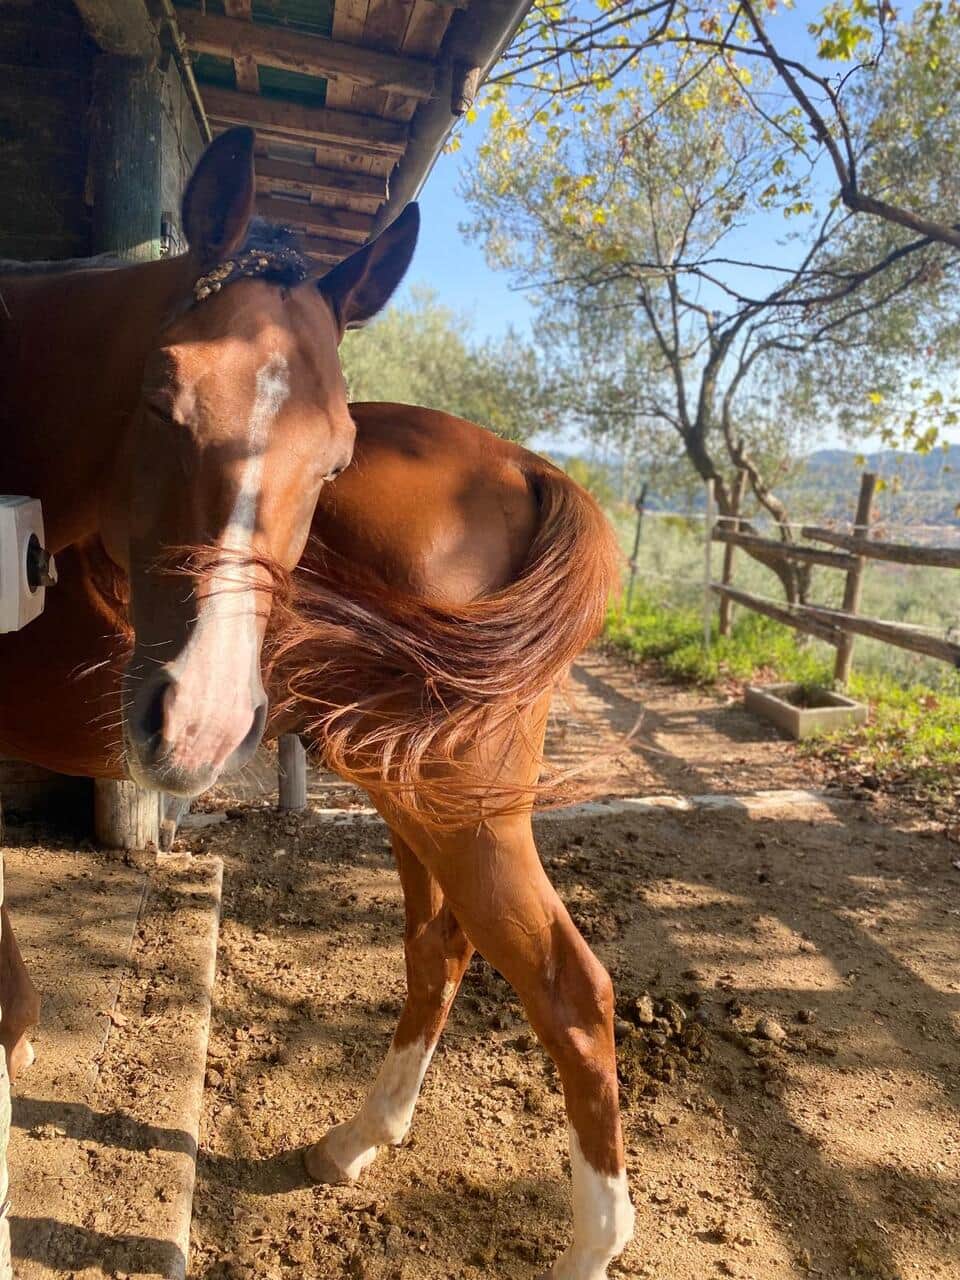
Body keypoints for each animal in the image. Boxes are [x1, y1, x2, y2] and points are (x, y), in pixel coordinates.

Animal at [0, 403, 634, 1279]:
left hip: (454, 808)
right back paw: (356, 1140)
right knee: (440, 949)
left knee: (568, 990)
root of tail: (525, 467)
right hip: (412, 789)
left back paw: (592, 1246)